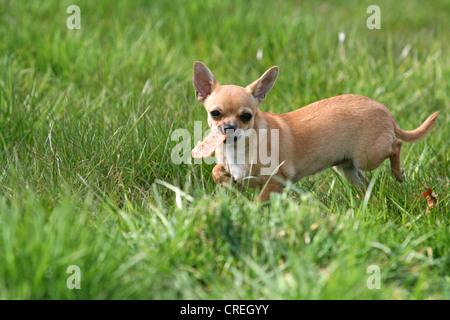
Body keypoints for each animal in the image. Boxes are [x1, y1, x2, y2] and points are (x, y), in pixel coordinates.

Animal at [193, 61, 440, 201]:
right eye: (215, 113)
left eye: (246, 116)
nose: (229, 128)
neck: (239, 149)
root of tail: (384, 109)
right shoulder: (236, 175)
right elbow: (218, 171)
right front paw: (223, 178)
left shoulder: (277, 180)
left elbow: (260, 200)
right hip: (348, 167)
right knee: (365, 183)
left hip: (368, 157)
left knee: (396, 146)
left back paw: (398, 173)